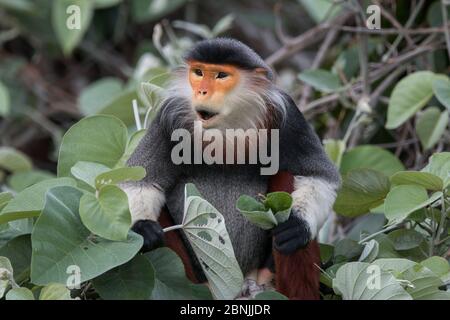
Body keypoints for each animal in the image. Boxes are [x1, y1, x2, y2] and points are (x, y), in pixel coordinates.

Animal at [121, 38, 340, 298]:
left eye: (221, 75)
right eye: (198, 72)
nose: (201, 91)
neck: (227, 128)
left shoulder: (288, 116)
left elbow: (321, 176)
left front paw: (298, 226)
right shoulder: (167, 120)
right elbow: (139, 180)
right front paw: (143, 229)